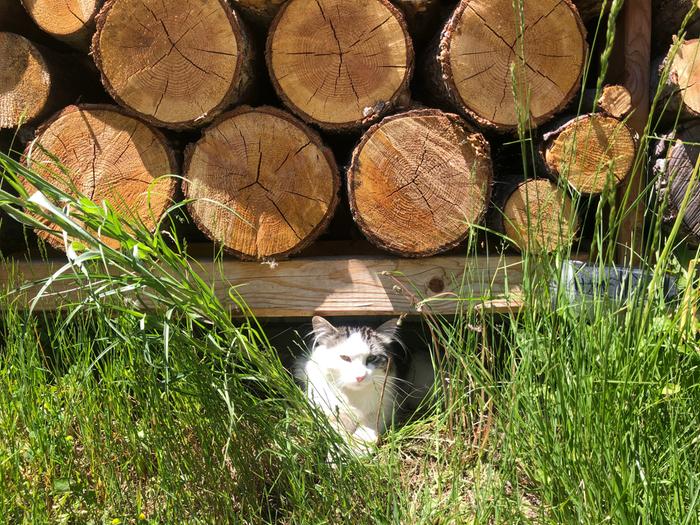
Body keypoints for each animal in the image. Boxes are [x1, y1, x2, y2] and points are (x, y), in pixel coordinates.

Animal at [296, 316, 432, 454]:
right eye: (345, 358)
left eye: (371, 358)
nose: (360, 376)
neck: (353, 396)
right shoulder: (330, 413)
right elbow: (337, 435)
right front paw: (339, 455)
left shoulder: (384, 408)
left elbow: (365, 431)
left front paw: (357, 452)